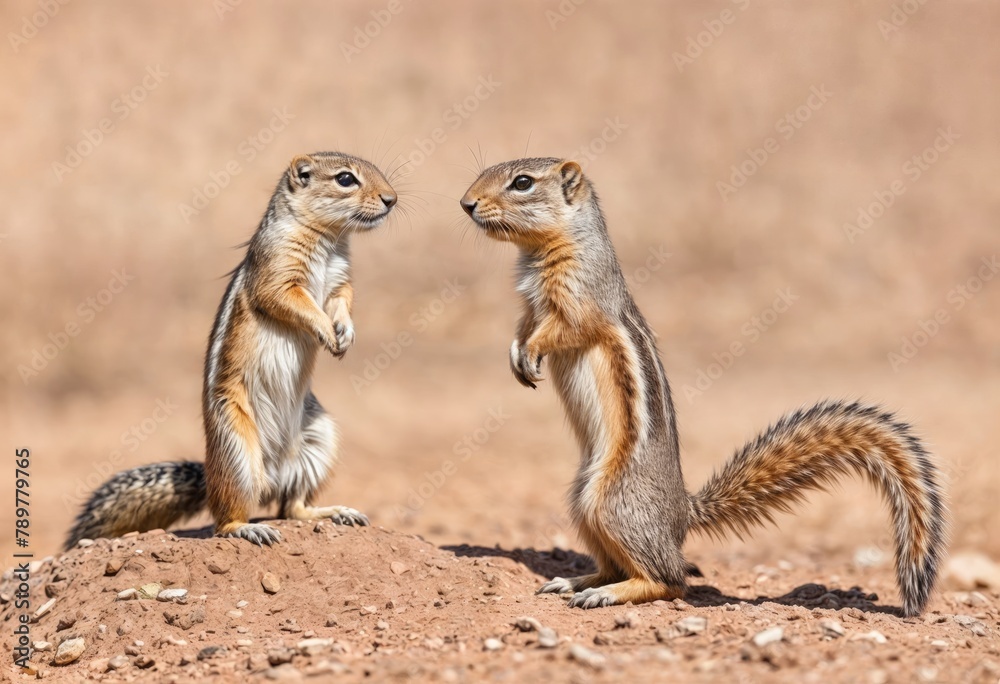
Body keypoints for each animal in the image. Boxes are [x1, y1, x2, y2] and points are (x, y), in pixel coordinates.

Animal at [65, 151, 398, 549]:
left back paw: (335, 512)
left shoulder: (340, 281)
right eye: (346, 179)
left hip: (319, 441)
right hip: (236, 447)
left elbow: (342, 301)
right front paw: (324, 332)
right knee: (224, 518)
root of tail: (271, 475)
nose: (391, 199)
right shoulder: (277, 272)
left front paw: (345, 334)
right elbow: (288, 300)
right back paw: (248, 528)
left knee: (292, 507)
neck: (330, 239)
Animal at [460, 157, 947, 616]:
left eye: (522, 182)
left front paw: (531, 352)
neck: (542, 251)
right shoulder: (529, 306)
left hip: (610, 502)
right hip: (583, 504)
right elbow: (523, 327)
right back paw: (577, 582)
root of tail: (681, 512)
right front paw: (516, 355)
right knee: (625, 566)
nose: (466, 203)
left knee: (671, 580)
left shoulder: (582, 296)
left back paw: (605, 594)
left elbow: (564, 328)